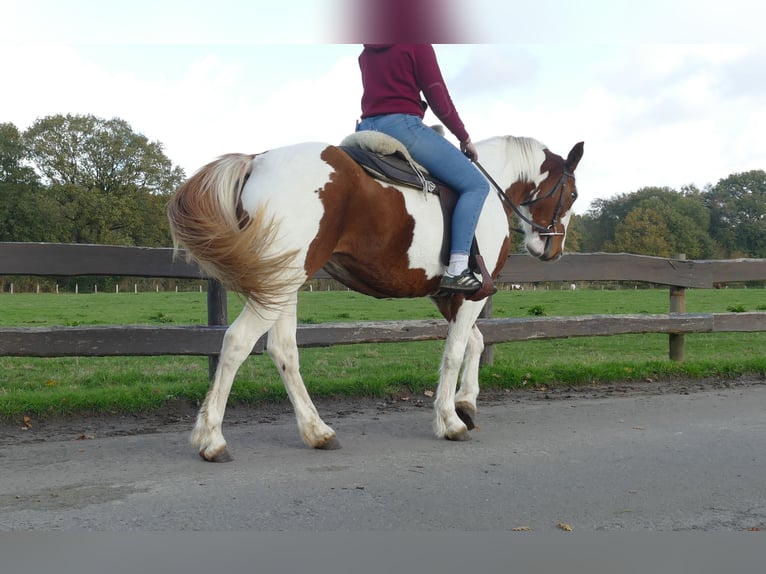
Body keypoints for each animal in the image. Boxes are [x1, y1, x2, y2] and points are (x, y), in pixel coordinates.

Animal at [168, 135, 584, 464]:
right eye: (574, 194)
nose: (553, 250)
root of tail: (257, 160)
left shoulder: (447, 296)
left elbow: (475, 343)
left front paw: (465, 403)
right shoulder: (470, 296)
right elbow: (454, 352)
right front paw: (450, 420)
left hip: (284, 283)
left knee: (282, 351)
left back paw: (317, 431)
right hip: (281, 283)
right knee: (237, 342)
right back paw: (212, 439)